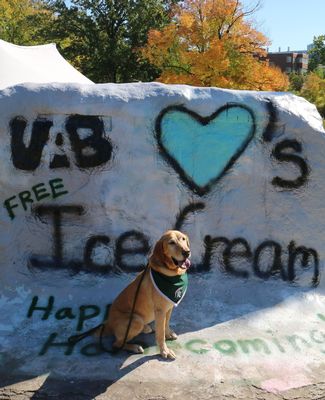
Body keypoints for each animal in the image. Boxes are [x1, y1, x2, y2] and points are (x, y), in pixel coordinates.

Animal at [69, 230, 190, 358]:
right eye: (171, 242)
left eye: (183, 239)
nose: (187, 252)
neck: (172, 274)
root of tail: (108, 323)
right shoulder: (160, 311)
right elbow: (160, 334)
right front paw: (164, 351)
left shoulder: (169, 307)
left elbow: (166, 324)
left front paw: (168, 334)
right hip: (136, 320)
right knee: (116, 343)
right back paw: (134, 347)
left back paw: (146, 328)